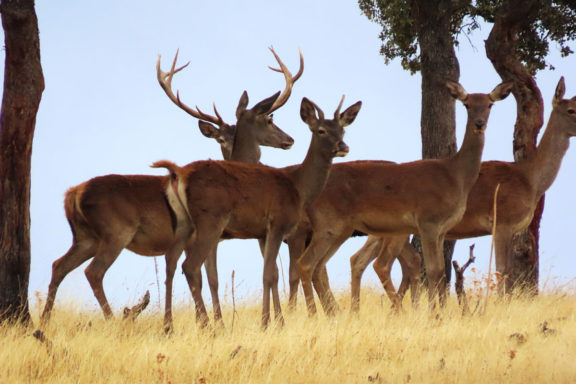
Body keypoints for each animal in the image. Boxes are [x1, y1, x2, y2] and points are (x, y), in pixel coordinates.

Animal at [39, 47, 302, 332]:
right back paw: (112, 321)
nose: (290, 139)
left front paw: (212, 322)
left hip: (85, 237)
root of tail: (73, 194)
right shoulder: (210, 234)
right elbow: (211, 277)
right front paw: (216, 323)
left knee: (58, 266)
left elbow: (209, 277)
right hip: (116, 232)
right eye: (270, 119)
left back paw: (44, 321)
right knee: (94, 272)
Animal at [153, 96, 360, 328]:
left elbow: (271, 273)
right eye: (321, 130)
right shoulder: (279, 224)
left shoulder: (263, 233)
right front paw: (273, 322)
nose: (343, 146)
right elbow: (272, 274)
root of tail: (179, 174)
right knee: (190, 266)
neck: (298, 187)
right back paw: (208, 327)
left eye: (343, 131)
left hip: (184, 224)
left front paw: (272, 320)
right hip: (210, 220)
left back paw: (169, 326)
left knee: (171, 261)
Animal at [294, 80, 510, 316]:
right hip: (329, 224)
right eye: (467, 104)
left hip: (342, 230)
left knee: (320, 266)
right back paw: (317, 315)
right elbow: (433, 270)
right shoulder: (428, 221)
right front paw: (433, 315)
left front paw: (438, 312)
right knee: (307, 264)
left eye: (489, 104)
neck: (456, 177)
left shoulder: (442, 229)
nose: (479, 124)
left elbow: (440, 271)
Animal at [346, 76, 576, 308]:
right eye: (571, 110)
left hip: (380, 232)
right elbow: (503, 269)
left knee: (363, 260)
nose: (479, 123)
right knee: (389, 263)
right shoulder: (502, 222)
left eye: (490, 105)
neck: (530, 180)